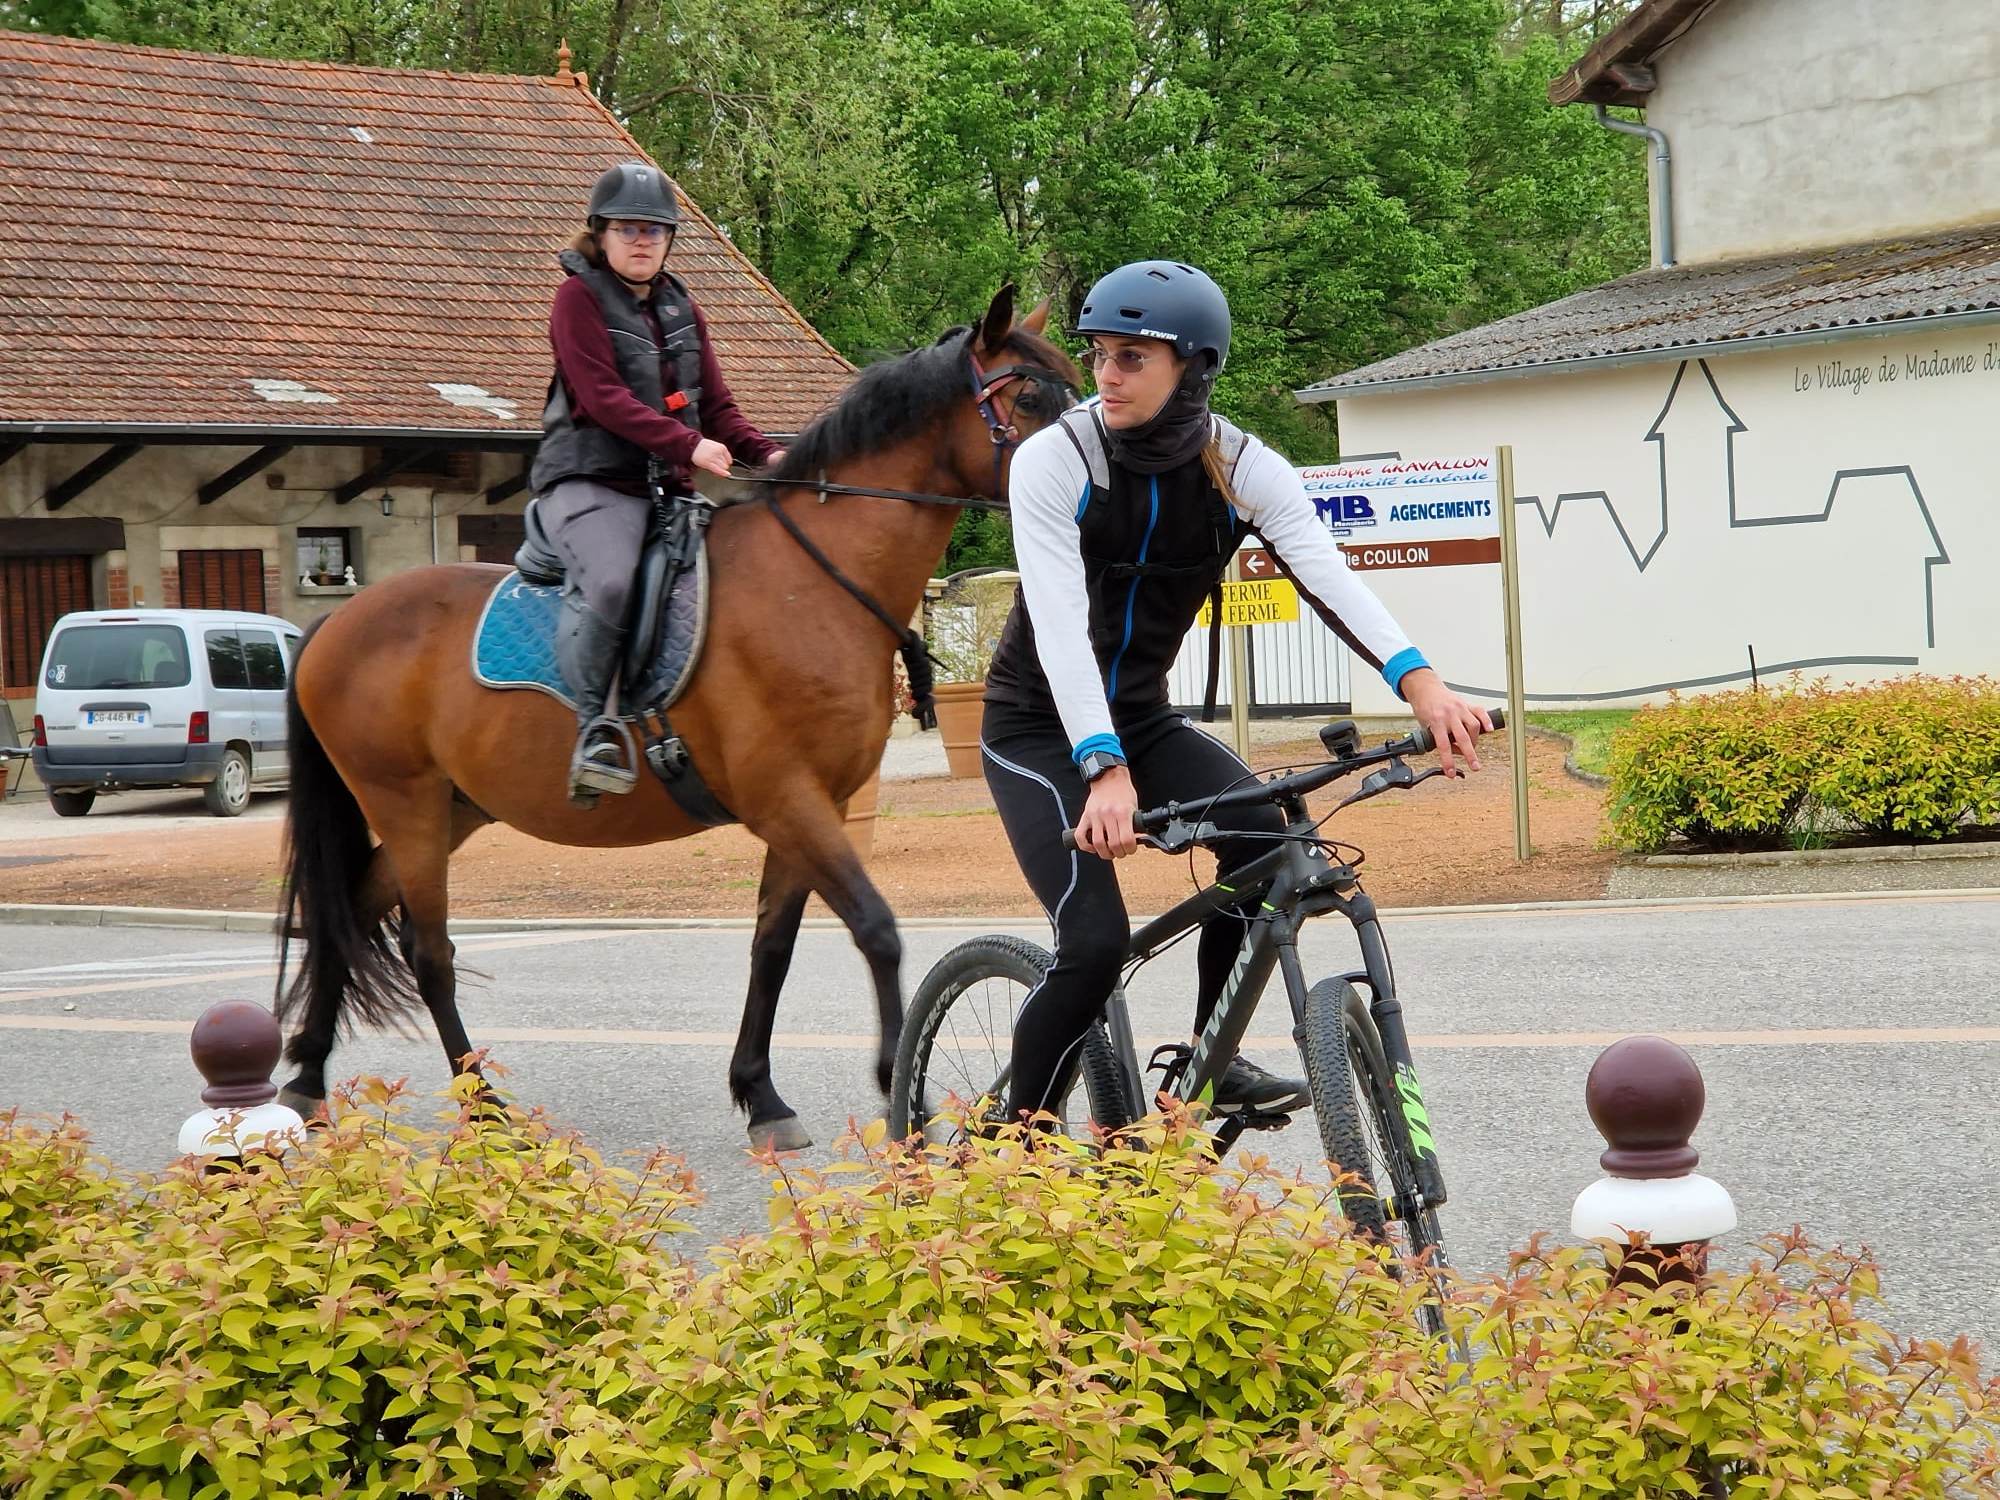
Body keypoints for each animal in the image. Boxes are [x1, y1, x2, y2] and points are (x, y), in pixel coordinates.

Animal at [274, 286, 1079, 1150]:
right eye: (1032, 398)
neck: (811, 582)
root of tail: (337, 621)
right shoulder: (786, 799)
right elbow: (877, 930)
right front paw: (902, 1095)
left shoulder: (810, 809)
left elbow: (772, 946)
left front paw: (761, 1095)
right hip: (409, 806)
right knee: (427, 953)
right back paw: (485, 1108)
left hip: (450, 810)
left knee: (347, 918)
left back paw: (305, 1078)